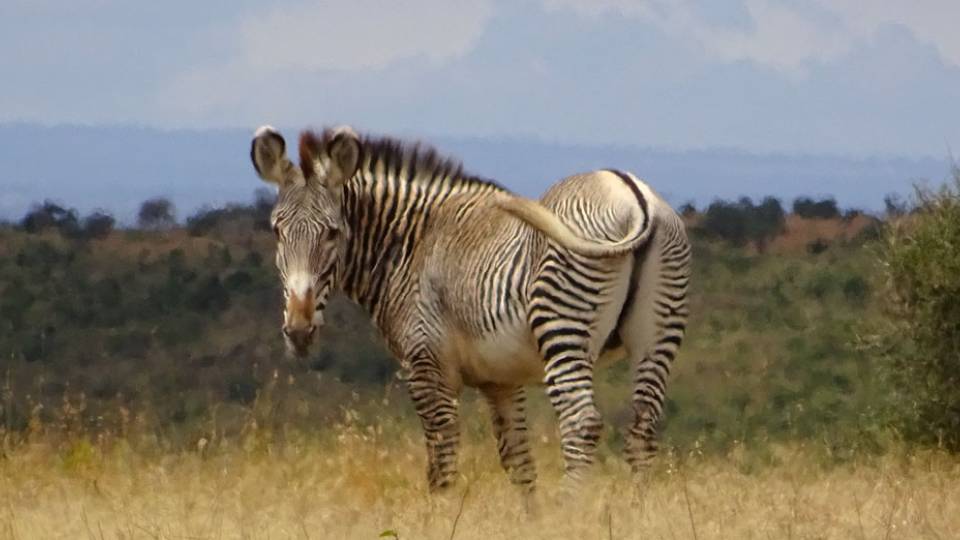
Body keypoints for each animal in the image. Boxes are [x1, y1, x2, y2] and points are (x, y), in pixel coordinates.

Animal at [249, 124, 690, 493]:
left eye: (332, 233)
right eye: (276, 231)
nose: (299, 331)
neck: (411, 244)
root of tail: (631, 195)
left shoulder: (426, 365)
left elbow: (441, 459)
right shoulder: (501, 379)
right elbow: (519, 462)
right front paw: (532, 522)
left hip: (562, 328)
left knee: (582, 422)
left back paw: (571, 511)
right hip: (658, 337)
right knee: (642, 427)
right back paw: (637, 510)